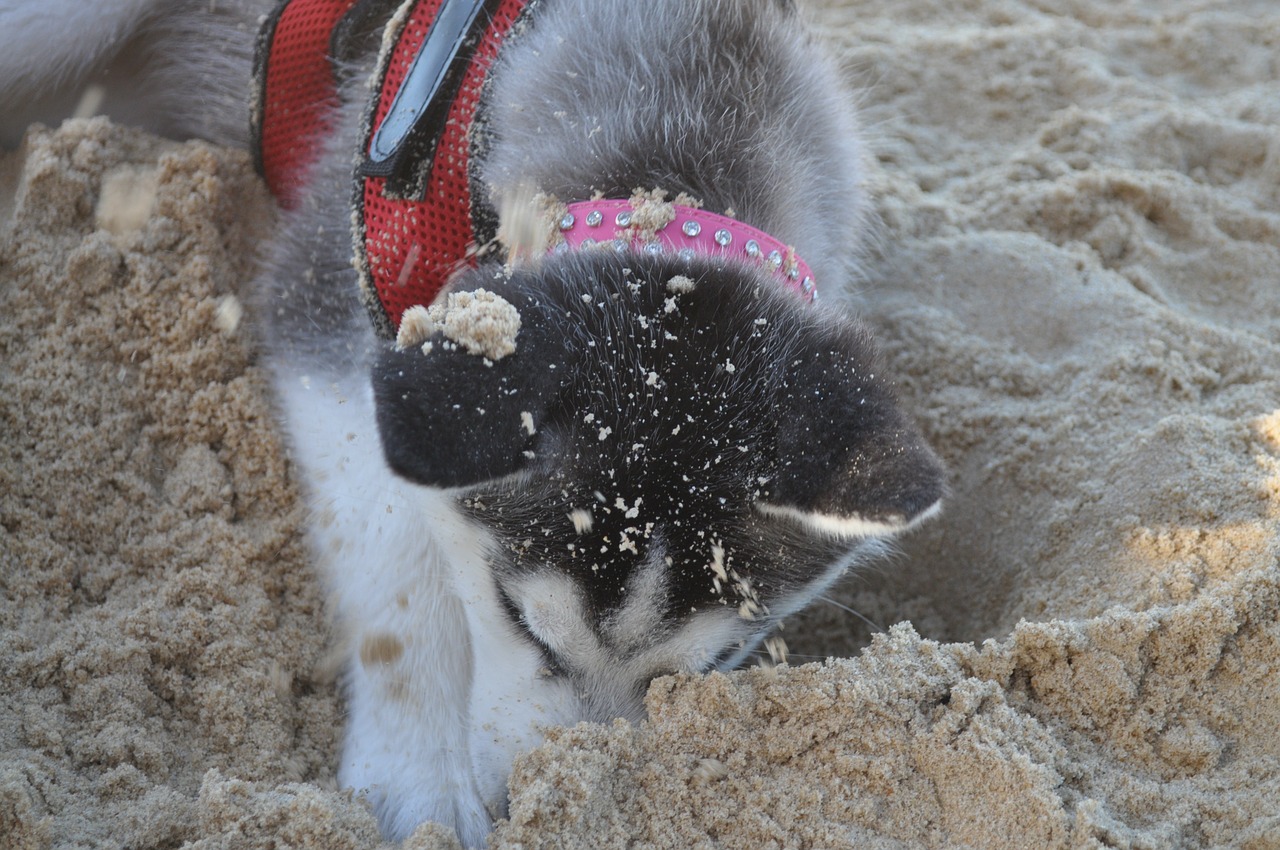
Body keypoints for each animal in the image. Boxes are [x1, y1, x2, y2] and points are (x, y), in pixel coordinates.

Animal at [0, 0, 942, 844]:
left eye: (710, 667)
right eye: (522, 623)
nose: (541, 801)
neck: (674, 159)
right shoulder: (326, 316)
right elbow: (395, 565)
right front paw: (418, 775)